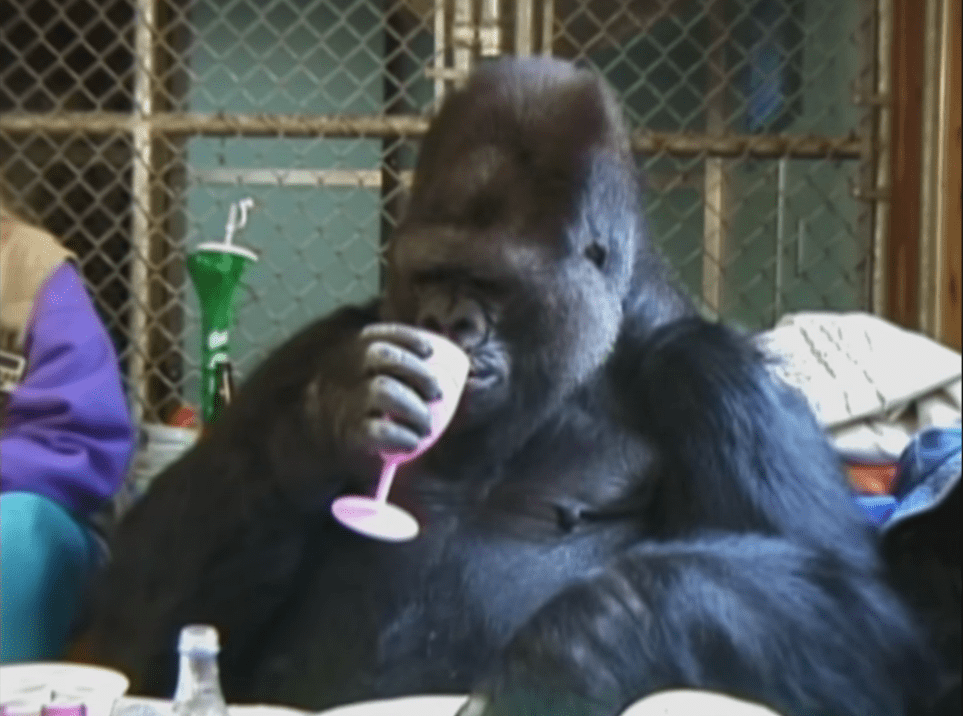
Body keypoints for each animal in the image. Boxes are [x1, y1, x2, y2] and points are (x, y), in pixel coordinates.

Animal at [81, 60, 940, 716]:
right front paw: (327, 423)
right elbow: (129, 634)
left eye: (491, 282)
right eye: (431, 272)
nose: (448, 323)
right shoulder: (315, 348)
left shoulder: (720, 383)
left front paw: (582, 639)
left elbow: (868, 624)